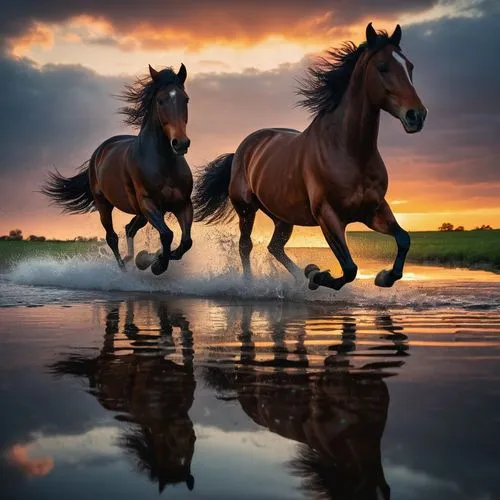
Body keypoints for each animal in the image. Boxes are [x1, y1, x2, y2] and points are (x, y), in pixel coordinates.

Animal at [42, 63, 193, 276]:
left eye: (185, 99)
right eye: (161, 100)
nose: (180, 143)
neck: (164, 163)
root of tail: (100, 151)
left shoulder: (183, 204)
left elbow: (186, 242)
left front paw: (150, 258)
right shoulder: (149, 203)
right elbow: (167, 235)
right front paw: (156, 264)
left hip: (140, 212)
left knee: (130, 228)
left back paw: (133, 258)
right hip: (104, 204)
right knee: (112, 237)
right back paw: (124, 268)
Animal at [193, 23, 428, 292]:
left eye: (410, 66)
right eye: (382, 67)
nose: (417, 115)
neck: (350, 152)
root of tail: (241, 150)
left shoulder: (374, 210)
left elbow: (403, 239)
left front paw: (383, 276)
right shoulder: (328, 215)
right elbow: (349, 269)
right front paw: (317, 275)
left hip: (282, 216)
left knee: (275, 247)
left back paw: (298, 277)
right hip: (246, 209)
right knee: (246, 246)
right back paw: (251, 284)